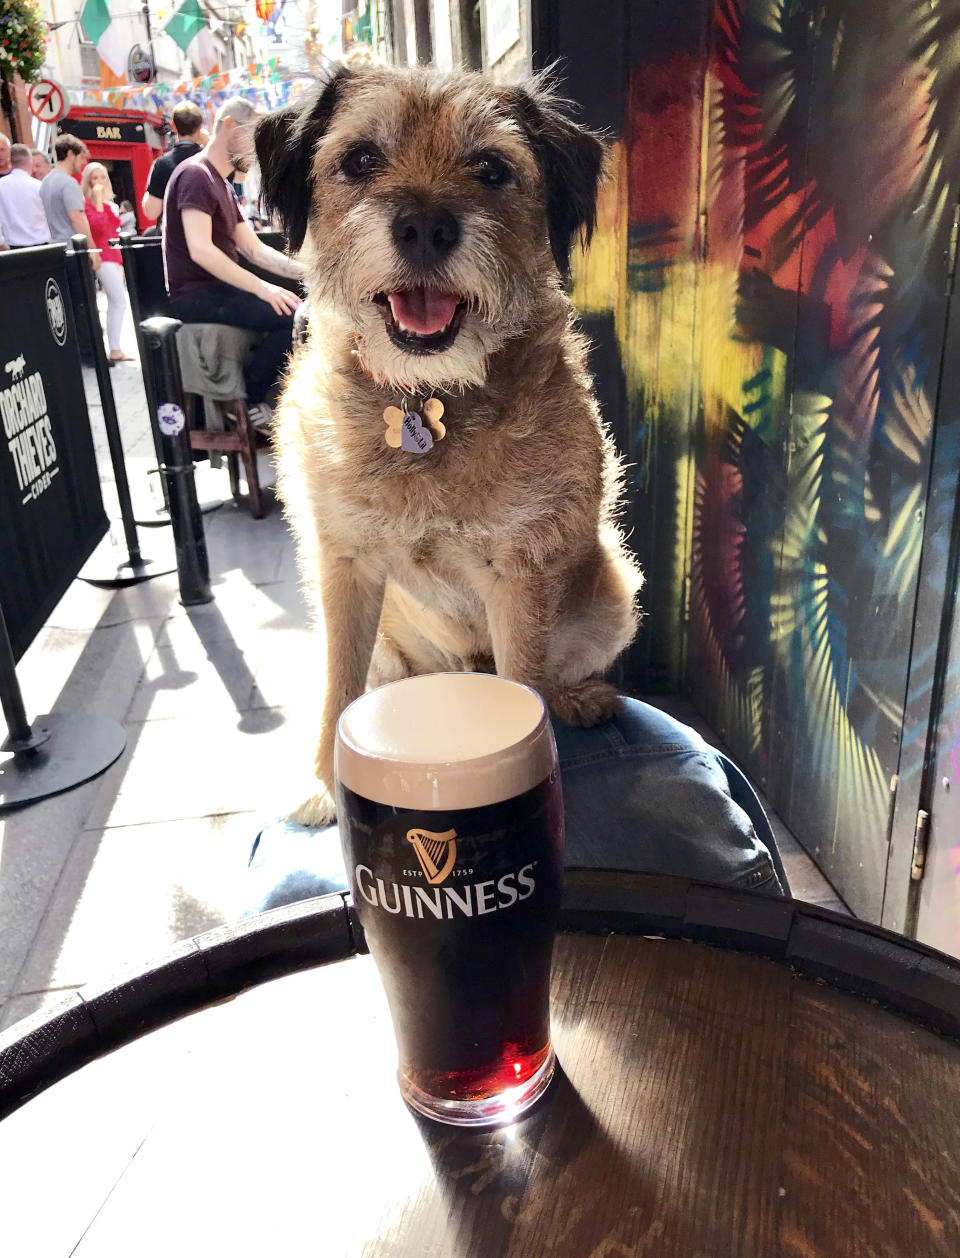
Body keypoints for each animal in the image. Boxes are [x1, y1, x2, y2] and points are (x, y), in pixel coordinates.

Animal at [259, 63, 641, 825]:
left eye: (491, 168)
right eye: (360, 160)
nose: (425, 227)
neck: (423, 398)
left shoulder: (521, 577)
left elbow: (526, 682)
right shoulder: (342, 568)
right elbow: (337, 682)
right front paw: (325, 783)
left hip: (612, 585)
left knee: (555, 673)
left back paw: (579, 697)